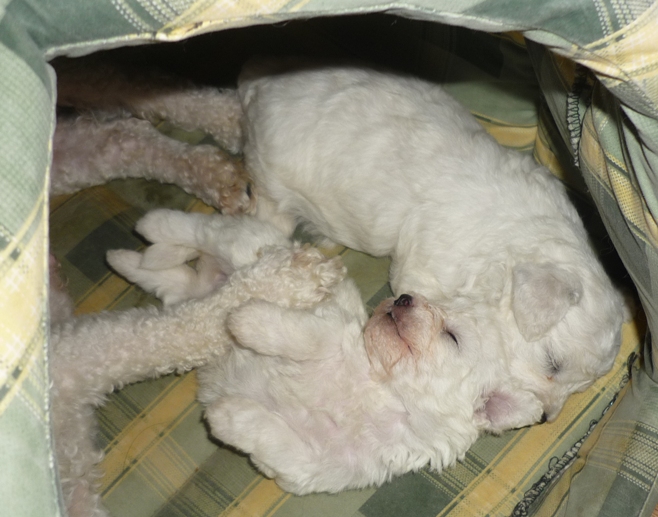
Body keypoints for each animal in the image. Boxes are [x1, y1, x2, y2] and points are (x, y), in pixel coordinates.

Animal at [51, 57, 626, 429]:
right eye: (552, 365)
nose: (548, 416)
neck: (517, 251)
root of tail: (260, 88)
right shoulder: (427, 268)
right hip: (273, 182)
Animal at [51, 211, 537, 517]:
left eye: (452, 336)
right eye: (423, 301)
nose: (402, 298)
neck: (382, 390)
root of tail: (209, 274)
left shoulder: (318, 468)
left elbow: (280, 447)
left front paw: (229, 416)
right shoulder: (333, 331)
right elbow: (299, 335)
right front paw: (247, 322)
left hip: (184, 292)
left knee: (168, 279)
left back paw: (126, 258)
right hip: (246, 246)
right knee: (203, 228)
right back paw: (152, 226)